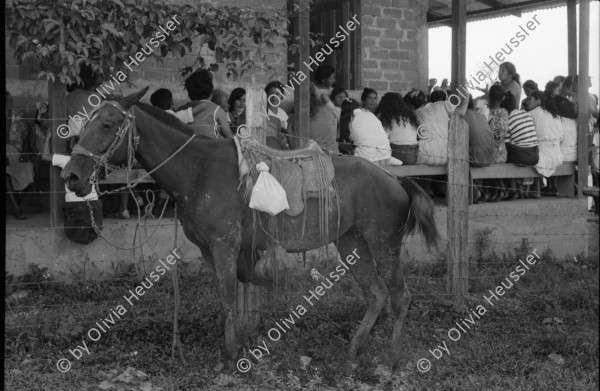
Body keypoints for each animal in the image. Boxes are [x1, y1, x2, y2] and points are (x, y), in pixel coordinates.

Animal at [62, 89, 436, 374]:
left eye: (107, 124)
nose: (71, 176)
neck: (197, 170)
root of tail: (394, 179)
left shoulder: (223, 245)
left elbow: (230, 296)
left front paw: (230, 359)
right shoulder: (211, 251)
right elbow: (234, 289)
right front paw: (241, 343)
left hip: (383, 244)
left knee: (399, 296)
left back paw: (391, 360)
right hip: (351, 243)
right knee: (376, 295)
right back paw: (355, 352)